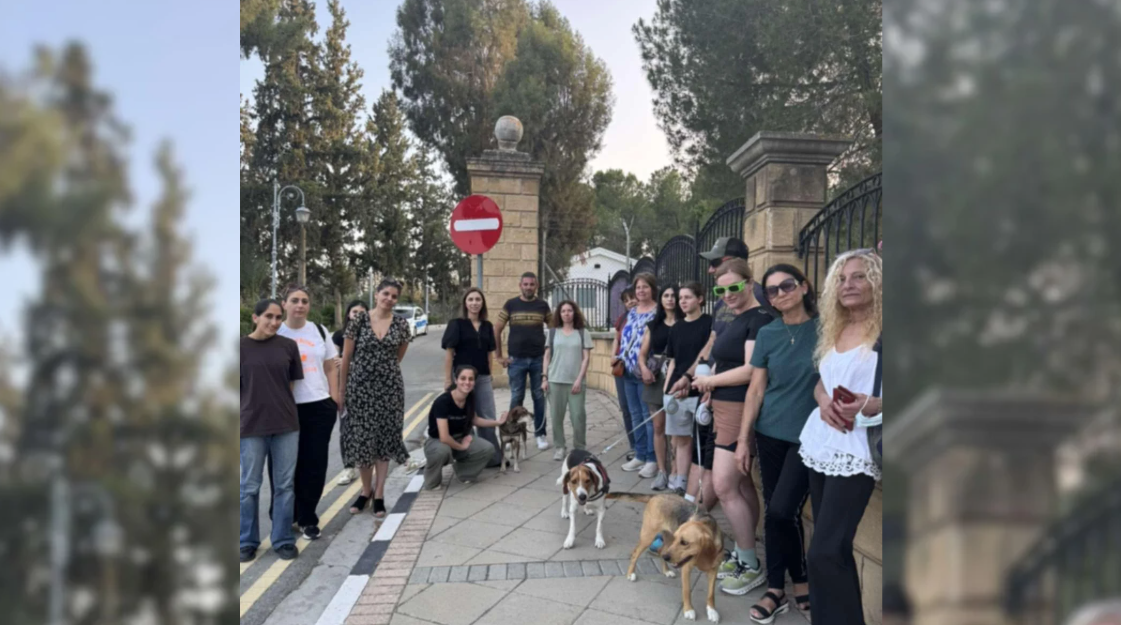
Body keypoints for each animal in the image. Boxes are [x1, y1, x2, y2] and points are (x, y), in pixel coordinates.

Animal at [609, 493, 724, 623]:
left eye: (685, 542)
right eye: (677, 538)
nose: (667, 557)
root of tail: (656, 495)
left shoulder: (713, 570)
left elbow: (711, 594)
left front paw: (712, 611)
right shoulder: (686, 569)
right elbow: (686, 591)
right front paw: (689, 610)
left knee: (660, 551)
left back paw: (666, 571)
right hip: (649, 537)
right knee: (636, 553)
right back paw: (630, 573)